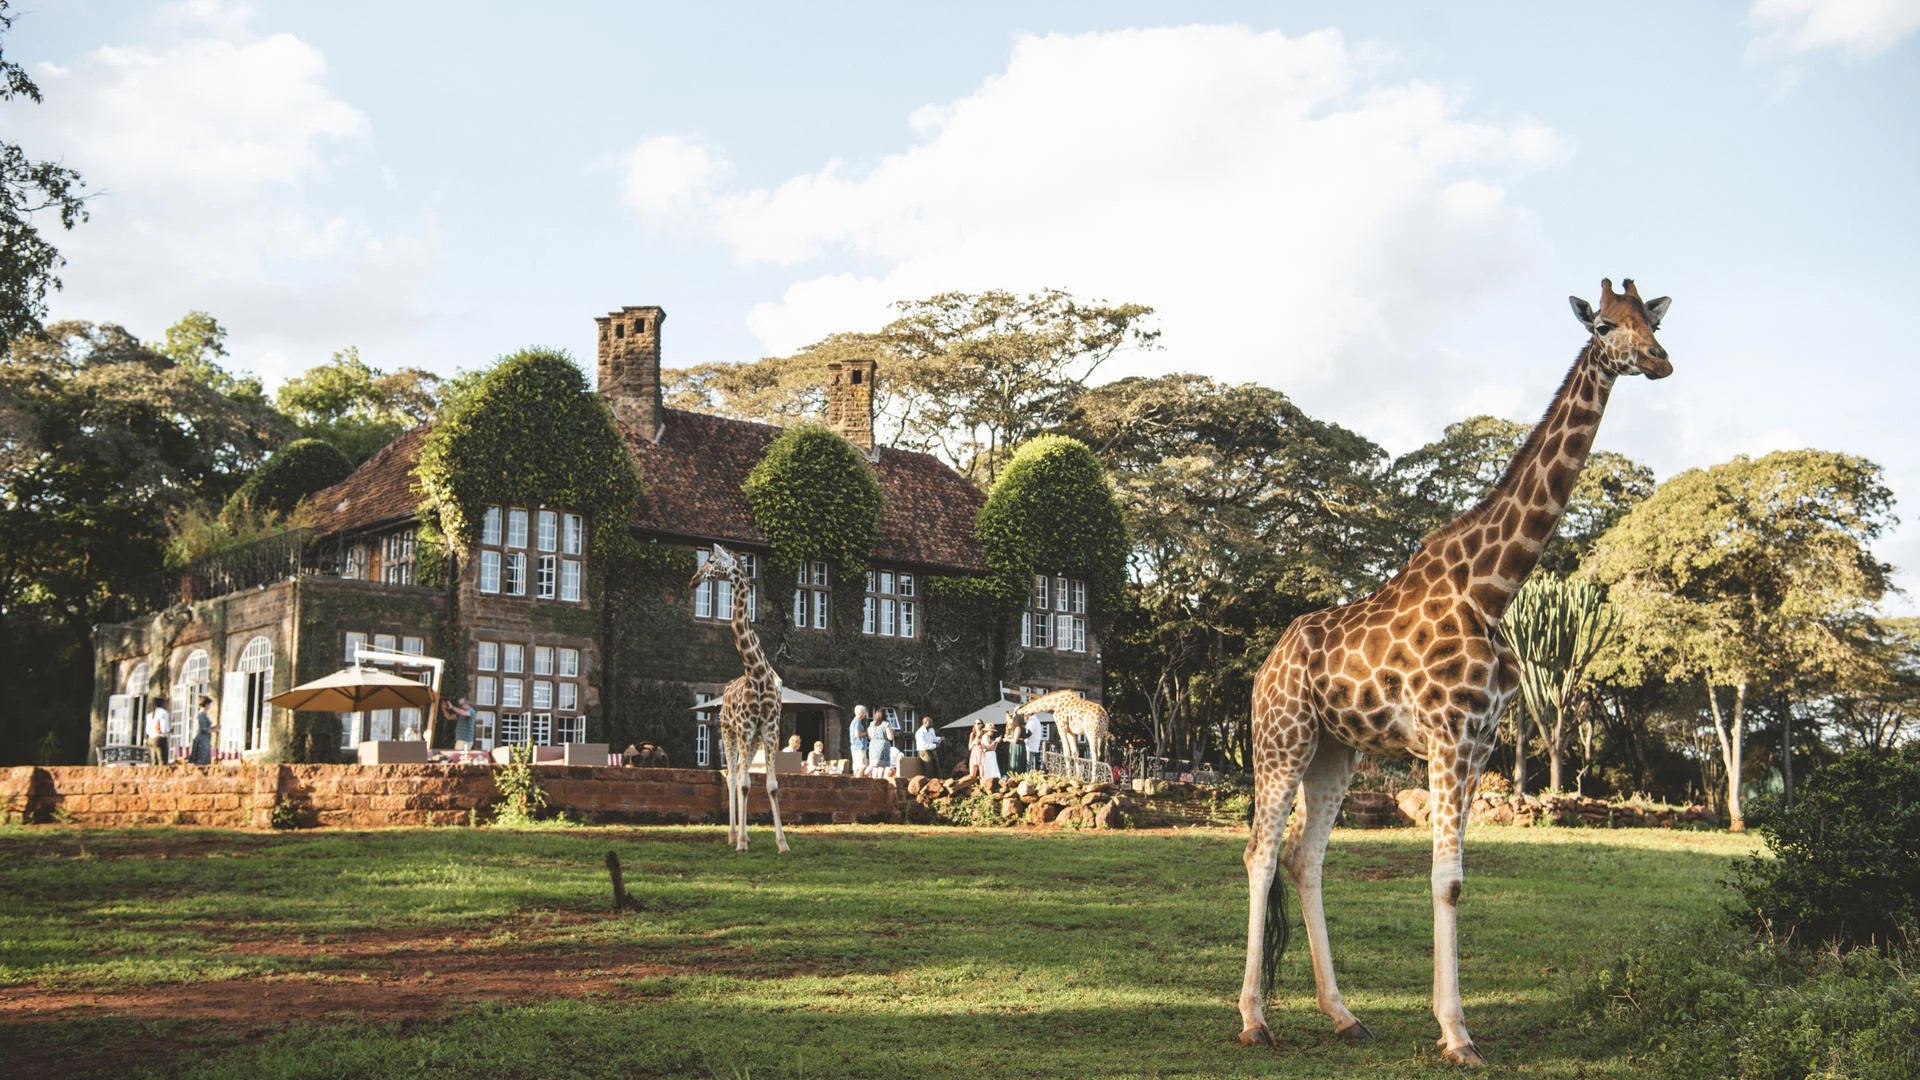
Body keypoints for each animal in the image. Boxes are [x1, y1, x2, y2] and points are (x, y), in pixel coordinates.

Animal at [690, 544, 791, 854]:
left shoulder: (769, 729)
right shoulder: (745, 728)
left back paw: (741, 835)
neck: (755, 672)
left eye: (711, 561)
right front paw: (743, 842)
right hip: (729, 732)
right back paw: (735, 835)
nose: (694, 580)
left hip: (752, 739)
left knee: (739, 775)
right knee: (733, 777)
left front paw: (782, 843)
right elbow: (744, 783)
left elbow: (771, 785)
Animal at [1233, 279, 1673, 1064]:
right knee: (1259, 853)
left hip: (1338, 751)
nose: (1659, 361)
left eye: (1650, 321)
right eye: (1602, 325)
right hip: (1281, 739)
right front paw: (1457, 1033)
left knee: (1304, 860)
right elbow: (1446, 882)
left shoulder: (1481, 741)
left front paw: (1453, 1026)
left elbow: (1456, 881)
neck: (1494, 587)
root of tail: (1267, 664)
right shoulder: (1446, 736)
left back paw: (1344, 1016)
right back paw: (1254, 1019)